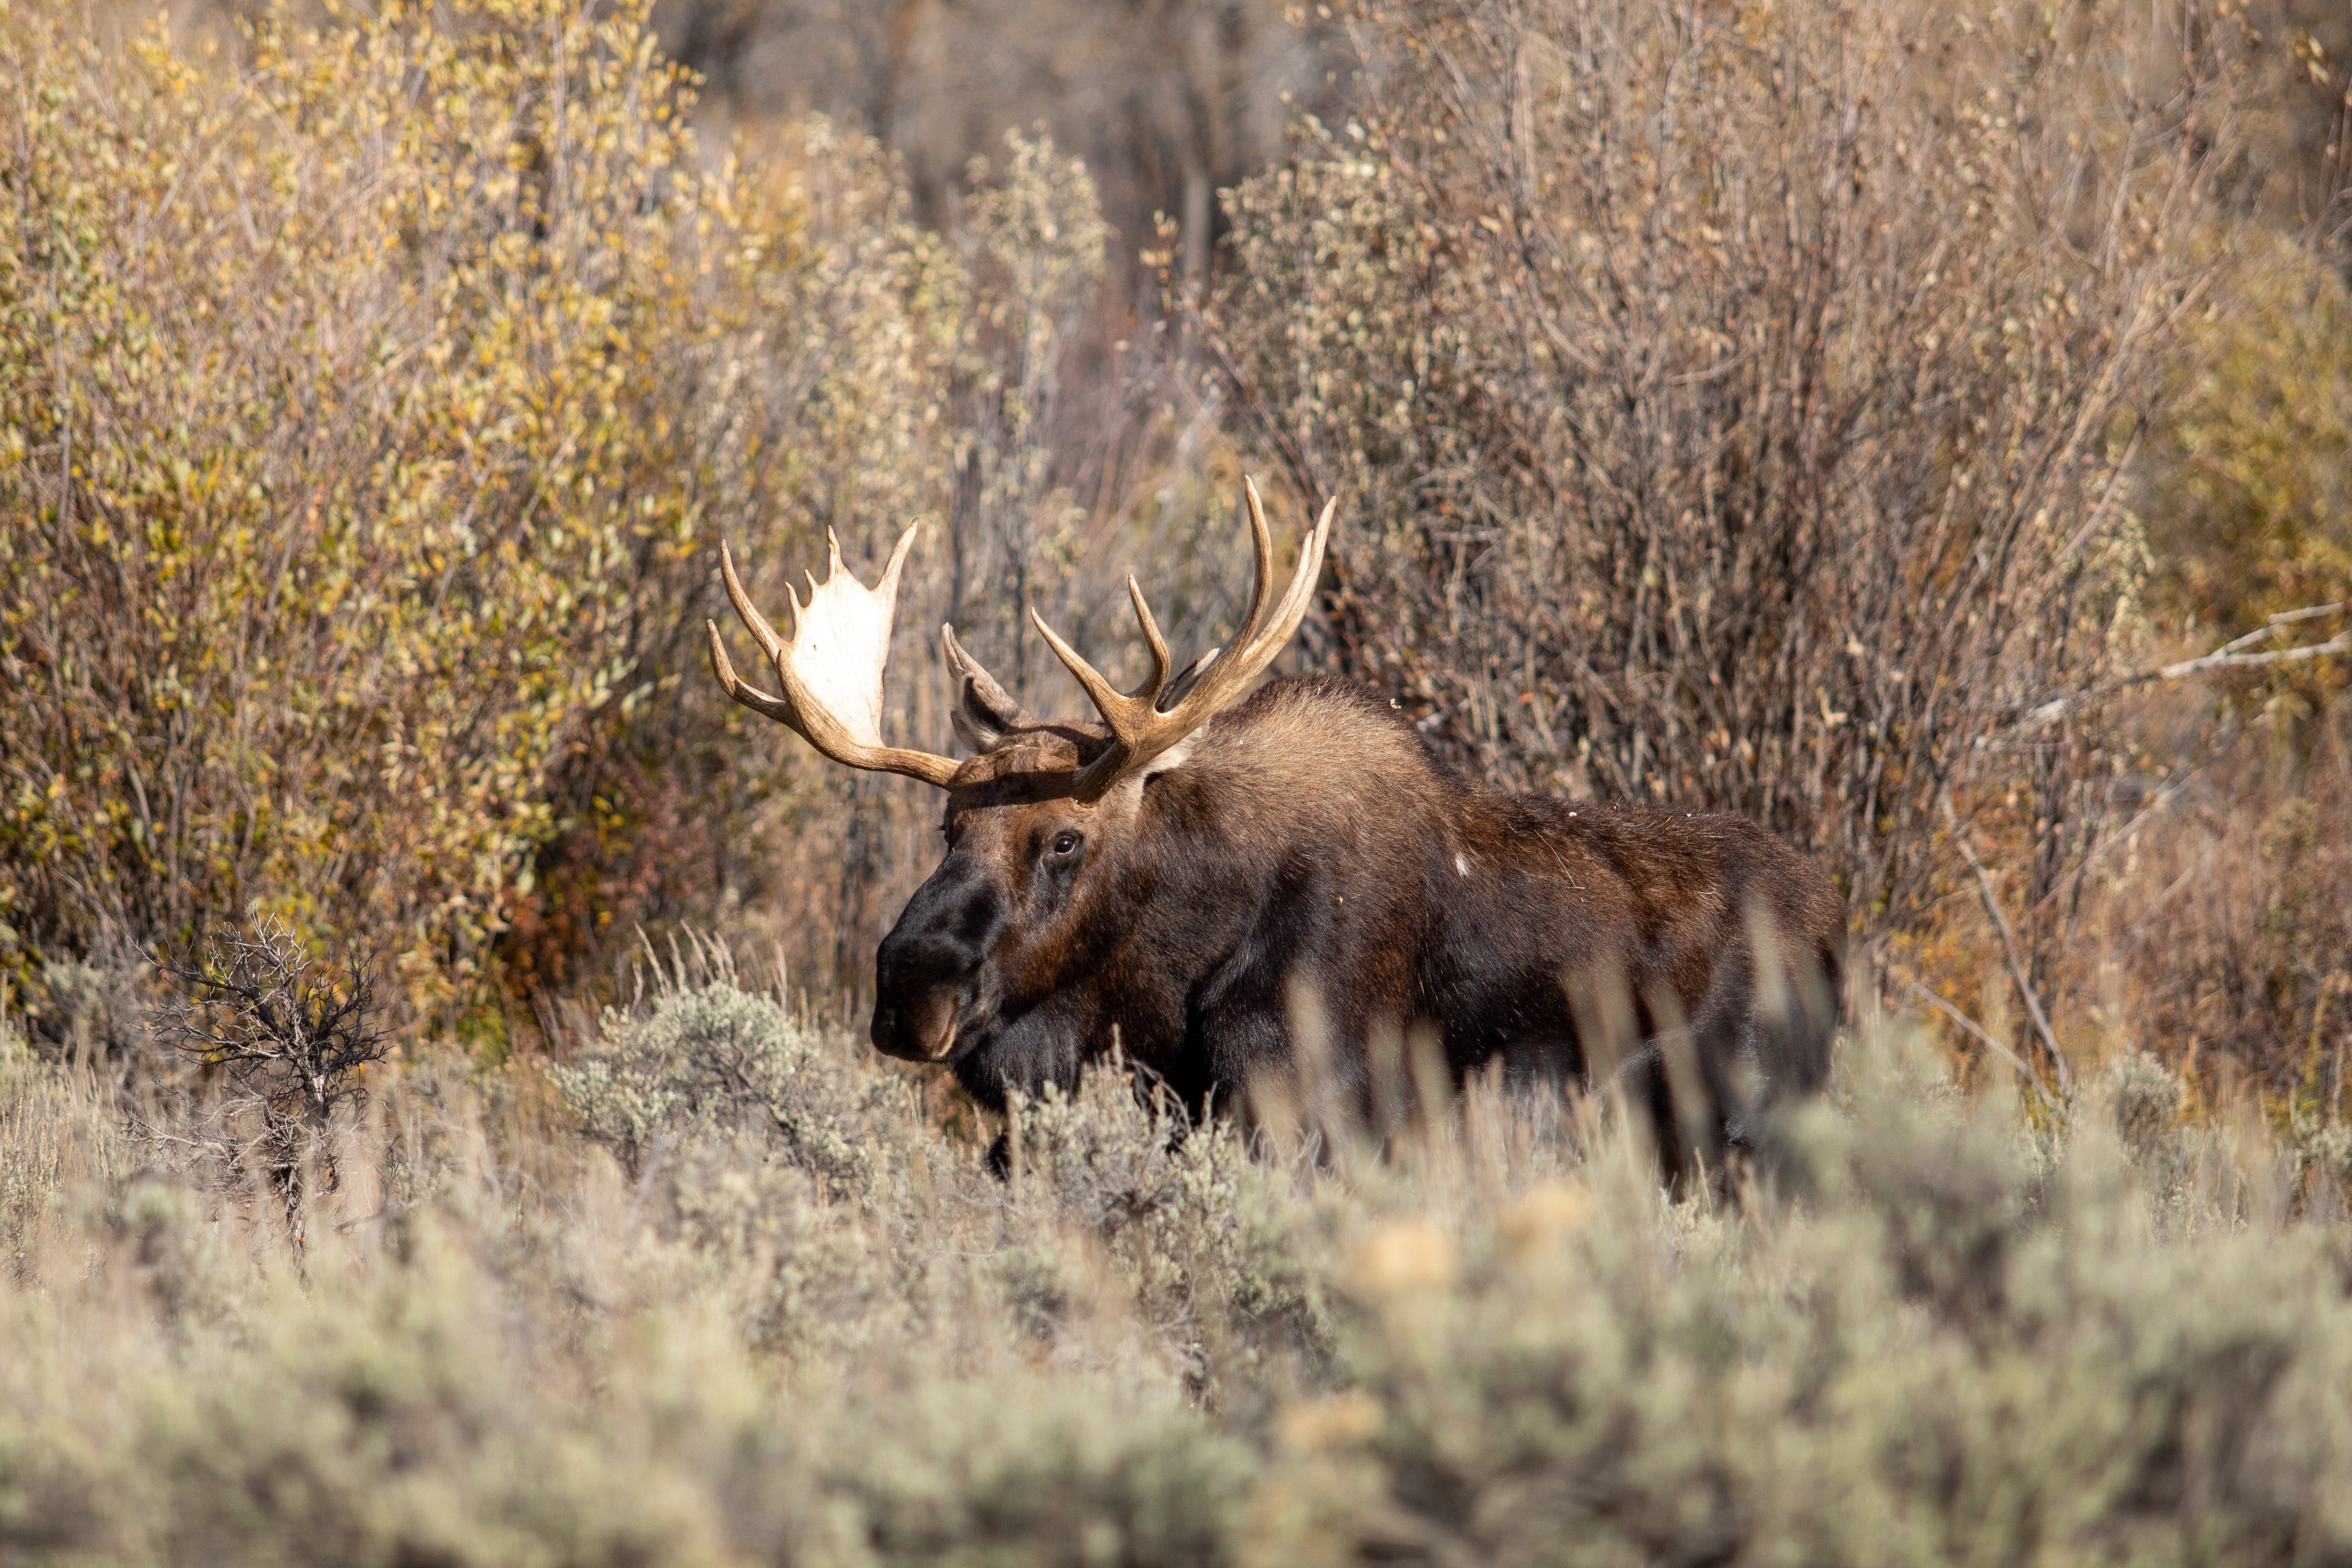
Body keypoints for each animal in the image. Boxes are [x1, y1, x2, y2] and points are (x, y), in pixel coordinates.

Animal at [706, 484, 1844, 1170]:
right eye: (947, 825)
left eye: (1066, 838)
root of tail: (1838, 936)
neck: (1165, 985)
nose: (911, 985)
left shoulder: (1309, 1110)